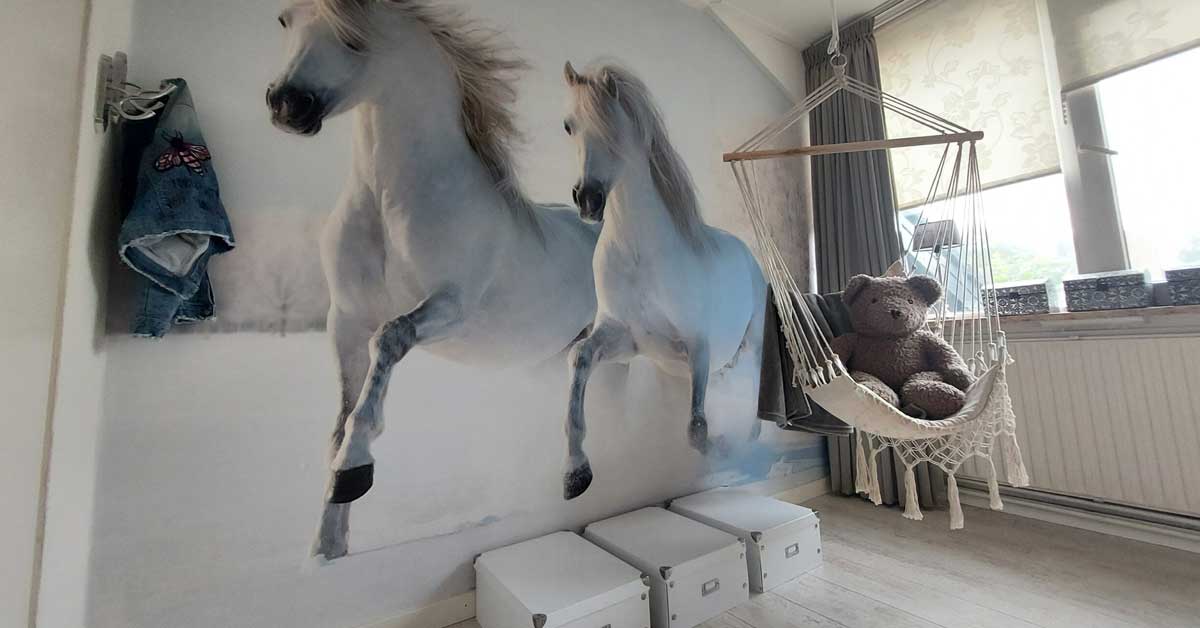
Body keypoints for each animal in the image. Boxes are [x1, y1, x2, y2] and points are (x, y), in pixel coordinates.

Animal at [267, 0, 600, 559]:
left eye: (356, 36)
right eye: (285, 20)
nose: (287, 103)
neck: (389, 201)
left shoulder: (450, 308)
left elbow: (389, 341)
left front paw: (354, 470)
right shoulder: (345, 321)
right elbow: (340, 418)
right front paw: (327, 547)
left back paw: (578, 476)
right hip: (548, 358)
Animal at [559, 61, 768, 500]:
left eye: (614, 125)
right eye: (569, 126)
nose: (588, 199)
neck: (641, 256)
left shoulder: (698, 347)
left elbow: (696, 428)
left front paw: (724, 448)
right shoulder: (626, 342)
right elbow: (579, 356)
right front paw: (575, 472)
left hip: (753, 344)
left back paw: (749, 439)